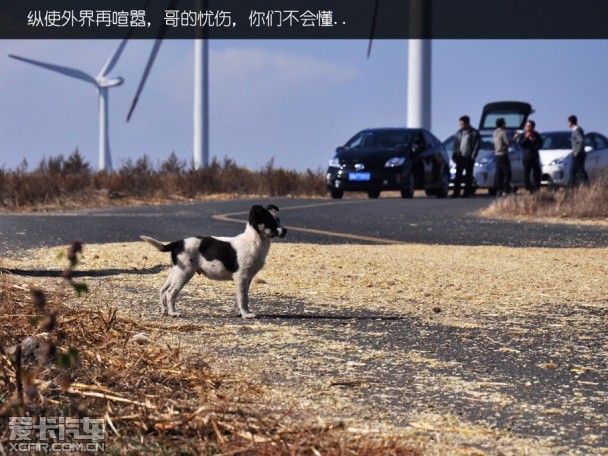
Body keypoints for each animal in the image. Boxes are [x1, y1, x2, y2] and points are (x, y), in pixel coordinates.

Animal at [141, 205, 286, 318]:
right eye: (270, 222)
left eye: (278, 220)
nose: (285, 230)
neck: (253, 241)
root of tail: (178, 243)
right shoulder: (241, 276)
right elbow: (243, 297)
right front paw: (246, 314)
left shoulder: (248, 278)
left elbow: (244, 297)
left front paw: (244, 312)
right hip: (184, 273)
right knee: (171, 293)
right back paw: (173, 313)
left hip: (176, 271)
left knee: (163, 290)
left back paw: (164, 311)